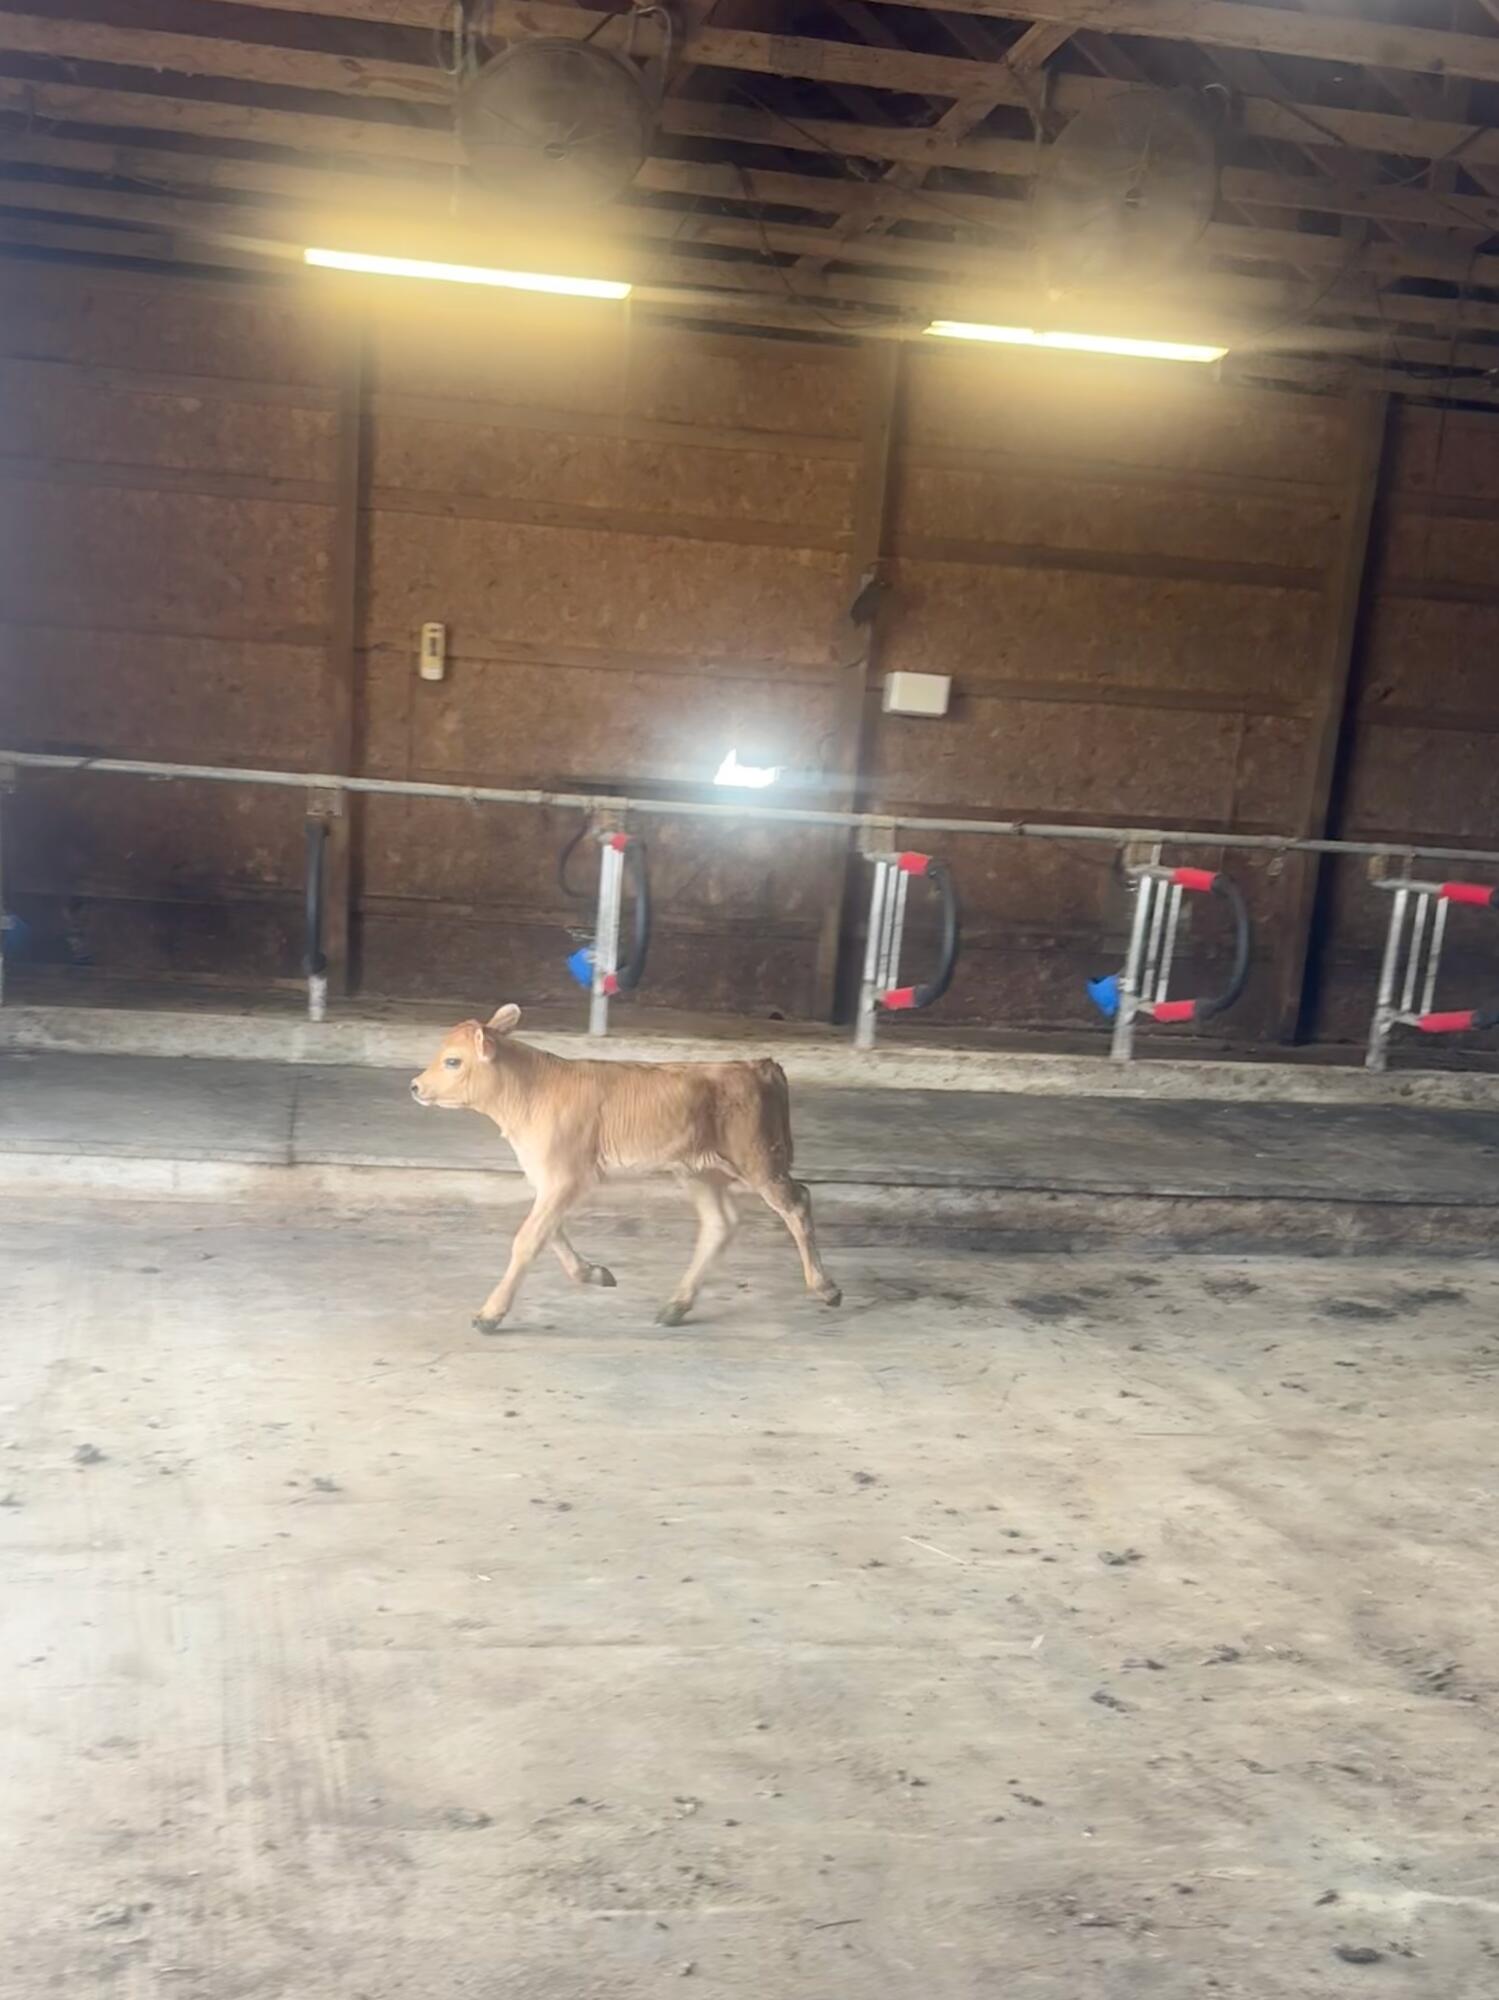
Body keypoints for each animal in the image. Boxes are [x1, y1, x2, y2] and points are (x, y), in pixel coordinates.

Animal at [410, 1005, 842, 1332]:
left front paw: (489, 1314)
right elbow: (549, 1232)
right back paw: (675, 1306)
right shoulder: (548, 1179)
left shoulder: (568, 1176)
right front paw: (594, 1273)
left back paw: (825, 1288)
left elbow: (528, 1238)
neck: (528, 1094)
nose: (415, 1086)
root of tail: (757, 1064)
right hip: (698, 1171)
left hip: (759, 1160)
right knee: (721, 1224)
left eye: (452, 1061)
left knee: (797, 1203)